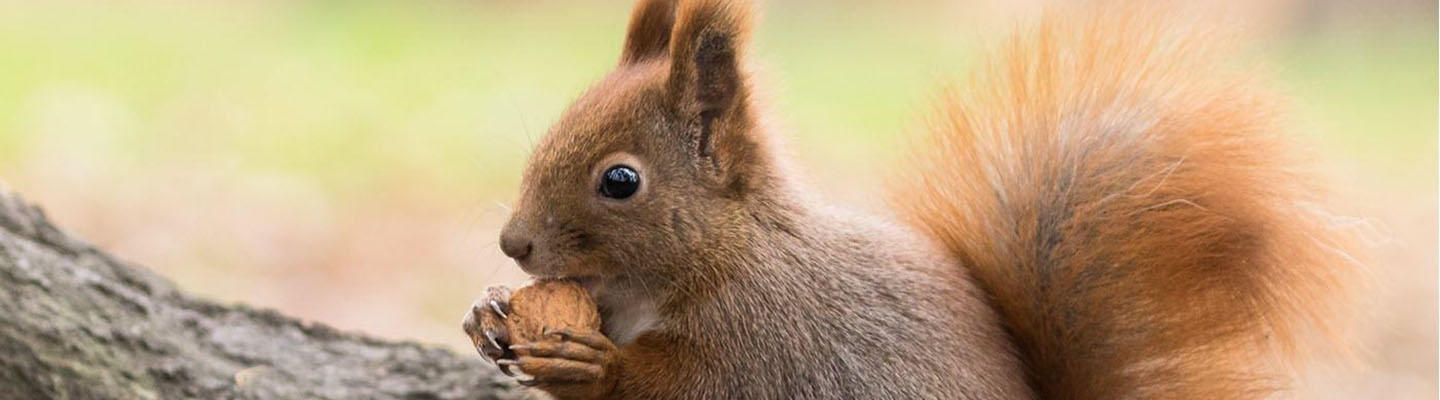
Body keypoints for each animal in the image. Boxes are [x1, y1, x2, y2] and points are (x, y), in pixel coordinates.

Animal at [463, 1, 1359, 397]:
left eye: (621, 181)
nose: (513, 244)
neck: (726, 255)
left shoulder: (764, 343)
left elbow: (682, 388)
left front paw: (589, 363)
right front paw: (486, 312)